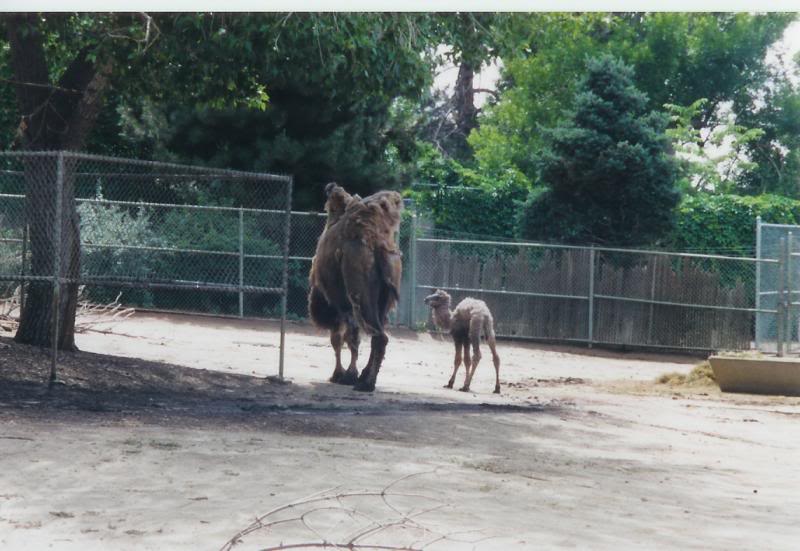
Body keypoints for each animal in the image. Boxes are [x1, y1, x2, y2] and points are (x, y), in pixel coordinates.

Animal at [308, 183, 403, 392]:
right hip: (382, 301)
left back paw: (365, 384)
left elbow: (341, 338)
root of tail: (378, 245)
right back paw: (366, 379)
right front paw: (350, 374)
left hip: (359, 297)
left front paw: (342, 375)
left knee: (376, 335)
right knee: (379, 334)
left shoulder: (339, 306)